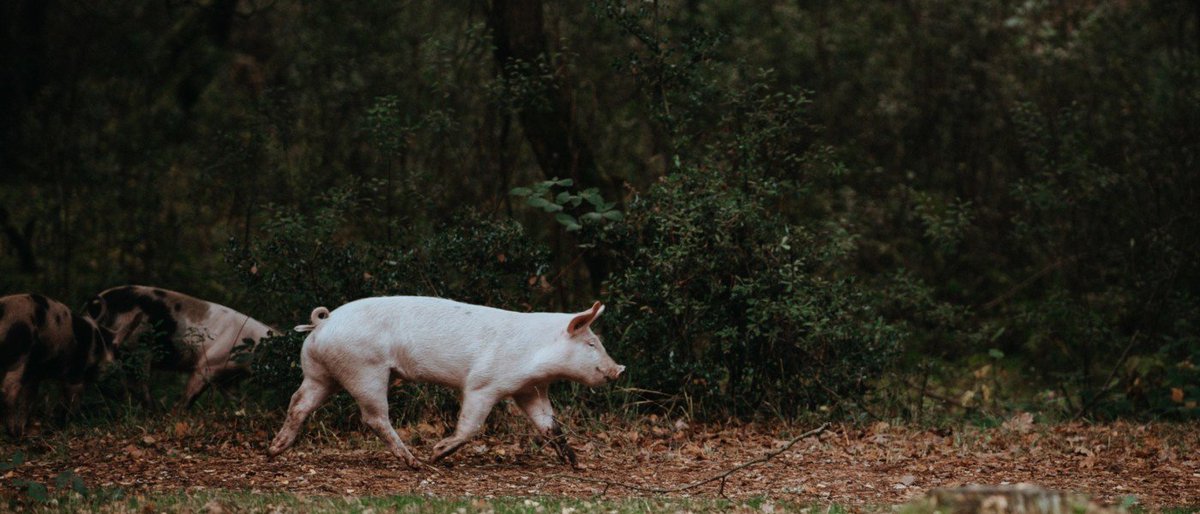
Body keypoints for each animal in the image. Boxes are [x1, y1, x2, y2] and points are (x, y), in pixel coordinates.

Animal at [0, 293, 124, 437]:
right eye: (115, 348)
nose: (117, 364)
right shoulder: (75, 372)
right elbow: (72, 398)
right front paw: (67, 424)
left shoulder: (35, 374)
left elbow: (29, 398)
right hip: (20, 355)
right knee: (9, 389)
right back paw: (14, 433)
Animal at [84, 285, 276, 409]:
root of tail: (94, 305)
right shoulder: (208, 364)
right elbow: (191, 394)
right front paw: (177, 415)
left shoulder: (228, 377)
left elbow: (236, 399)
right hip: (137, 348)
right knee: (137, 384)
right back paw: (153, 413)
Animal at [267, 296, 625, 468]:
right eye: (591, 343)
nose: (619, 369)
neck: (535, 354)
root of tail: (323, 323)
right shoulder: (483, 384)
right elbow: (471, 425)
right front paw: (437, 453)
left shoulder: (530, 390)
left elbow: (550, 425)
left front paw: (576, 464)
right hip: (365, 370)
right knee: (374, 417)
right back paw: (416, 463)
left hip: (320, 373)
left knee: (298, 403)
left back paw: (274, 450)